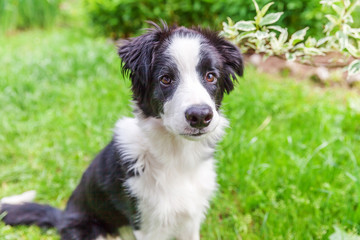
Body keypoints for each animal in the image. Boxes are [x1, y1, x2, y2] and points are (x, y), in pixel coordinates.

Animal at [0, 22, 243, 240]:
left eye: (210, 76)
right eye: (166, 79)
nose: (200, 116)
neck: (177, 158)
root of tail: (63, 217)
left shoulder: (190, 220)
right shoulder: (147, 225)